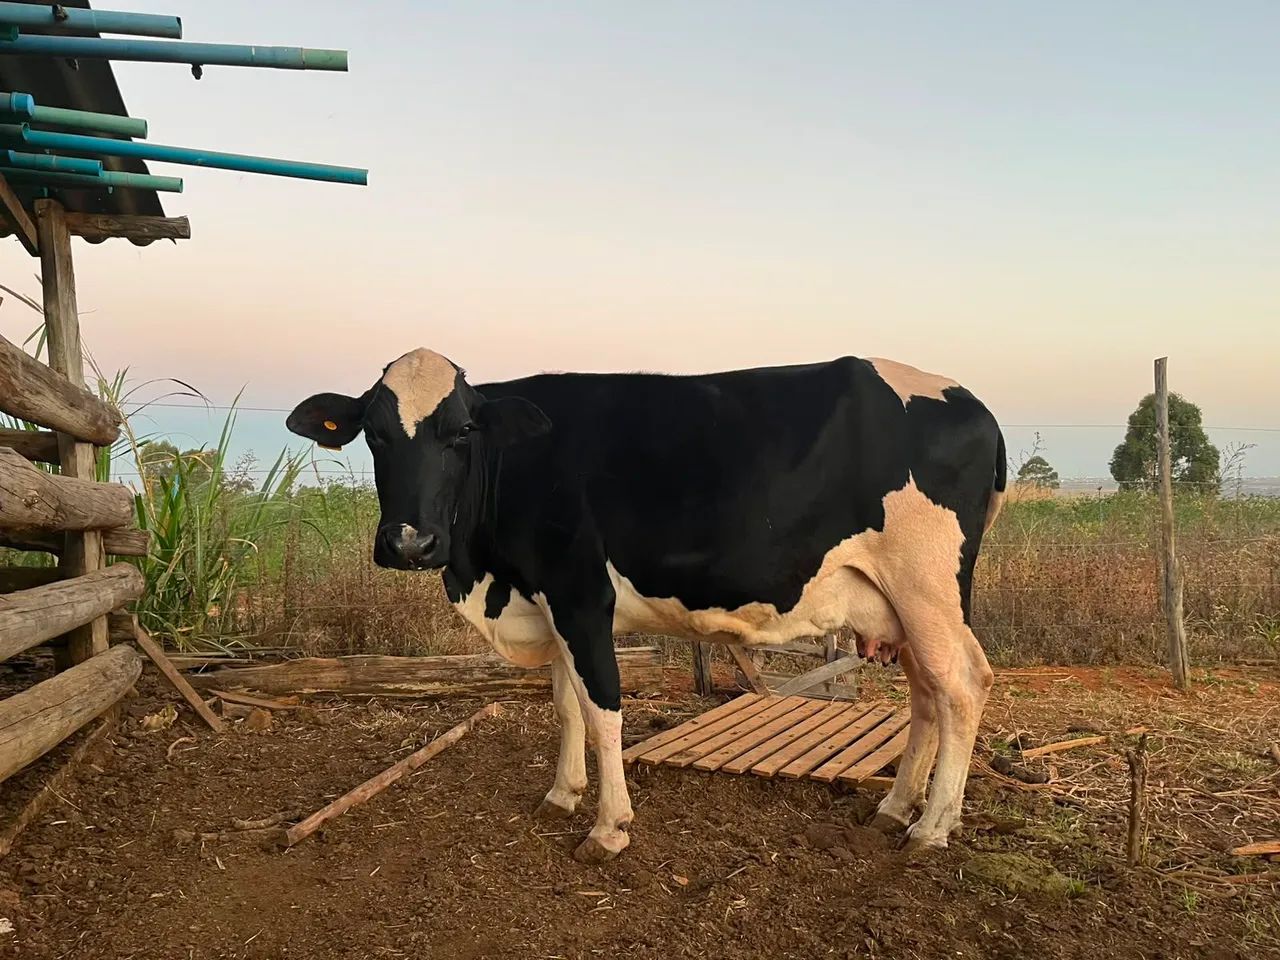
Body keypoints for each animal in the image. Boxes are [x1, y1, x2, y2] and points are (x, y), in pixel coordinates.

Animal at [286, 349, 1006, 862]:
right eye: (374, 434)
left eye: (461, 431)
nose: (410, 541)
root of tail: (971, 400)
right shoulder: (550, 601)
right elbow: (565, 703)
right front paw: (562, 794)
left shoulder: (581, 593)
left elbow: (603, 708)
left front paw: (608, 828)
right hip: (900, 602)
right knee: (927, 691)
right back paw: (895, 808)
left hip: (927, 586)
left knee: (962, 683)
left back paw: (931, 828)